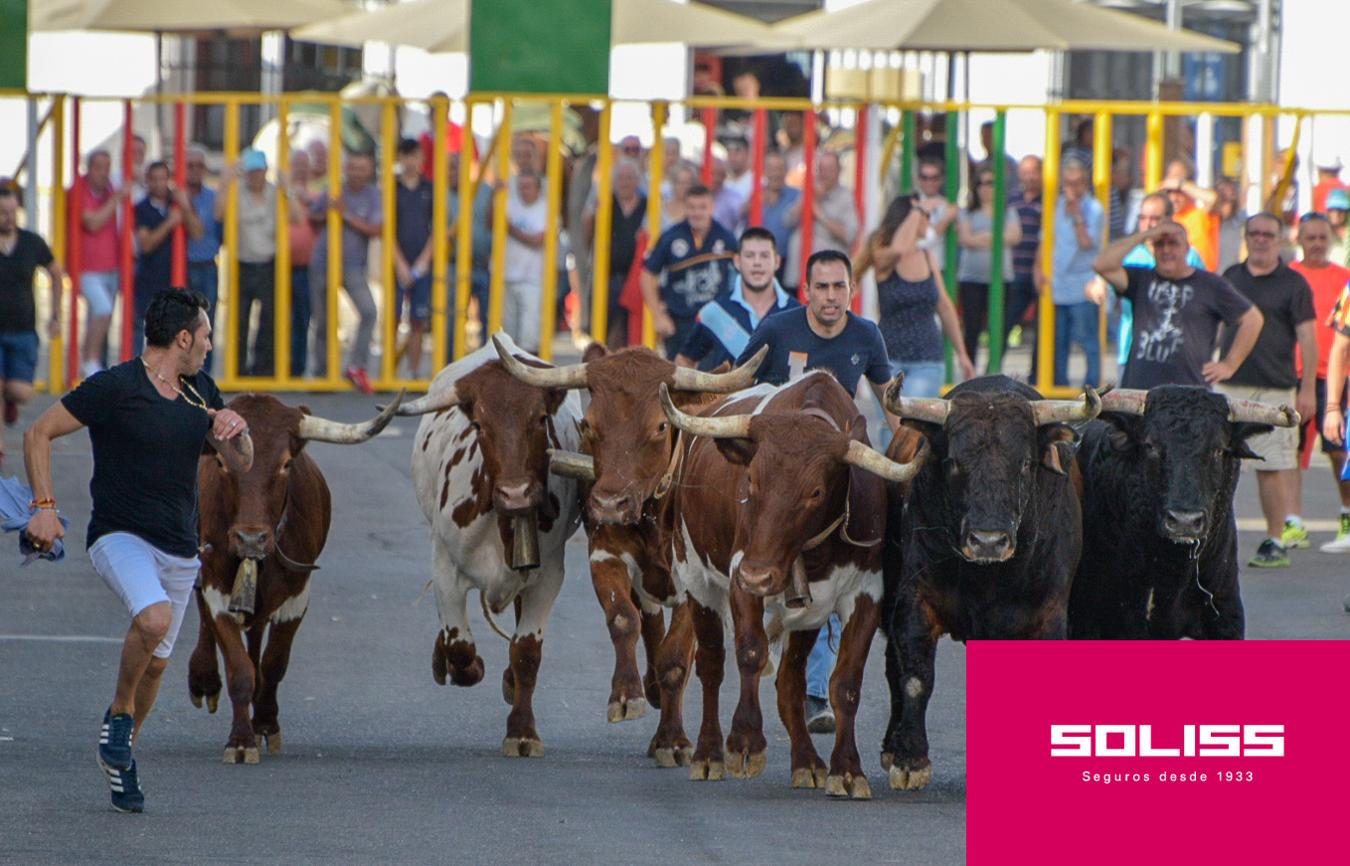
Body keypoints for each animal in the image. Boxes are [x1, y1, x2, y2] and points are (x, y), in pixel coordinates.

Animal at [189, 391, 399, 761]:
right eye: (222, 464)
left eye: (286, 464)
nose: (250, 539)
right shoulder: (217, 588)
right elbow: (239, 668)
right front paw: (240, 740)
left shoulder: (297, 595)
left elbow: (273, 663)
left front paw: (265, 725)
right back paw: (203, 679)